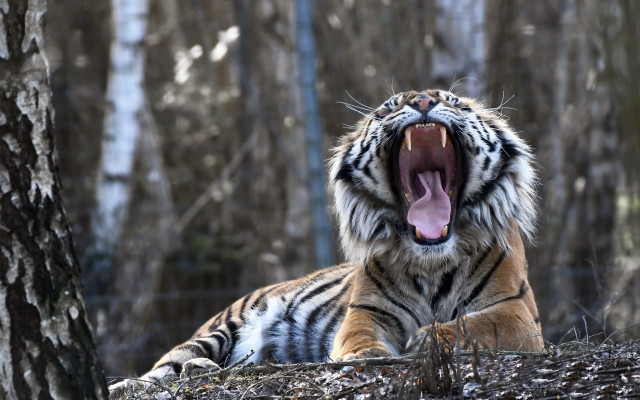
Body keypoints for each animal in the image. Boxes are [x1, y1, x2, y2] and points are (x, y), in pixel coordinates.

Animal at [109, 89, 543, 394]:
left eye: (453, 101)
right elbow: (359, 334)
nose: (423, 101)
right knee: (163, 366)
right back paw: (151, 377)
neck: (432, 258)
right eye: (388, 108)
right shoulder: (366, 310)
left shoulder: (516, 313)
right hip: (220, 329)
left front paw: (425, 338)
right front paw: (368, 354)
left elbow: (472, 324)